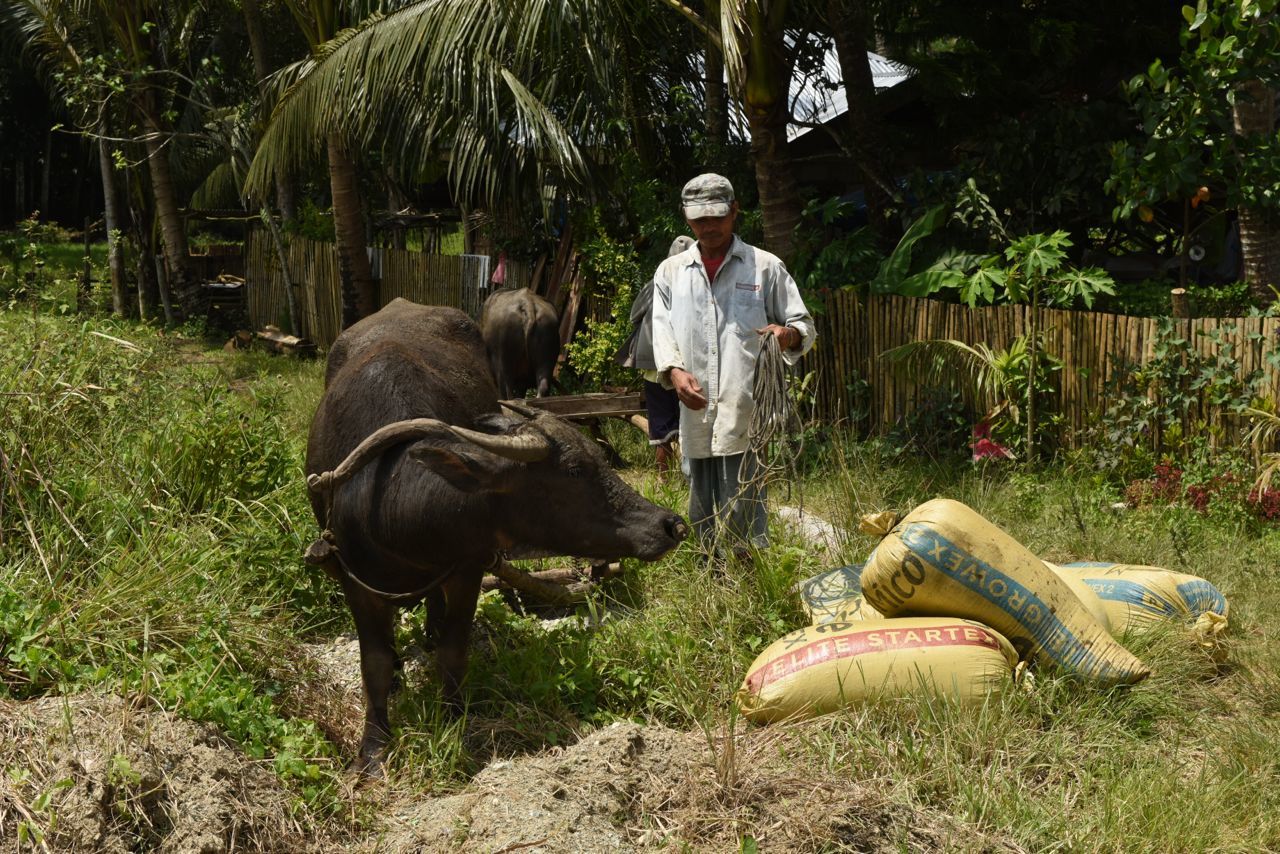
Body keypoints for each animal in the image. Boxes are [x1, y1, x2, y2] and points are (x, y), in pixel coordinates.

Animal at [303, 299, 686, 773]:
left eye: (599, 459)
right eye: (574, 470)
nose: (669, 524)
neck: (387, 501)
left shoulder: (465, 569)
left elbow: (453, 651)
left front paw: (452, 720)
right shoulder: (354, 579)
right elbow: (372, 663)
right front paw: (372, 751)